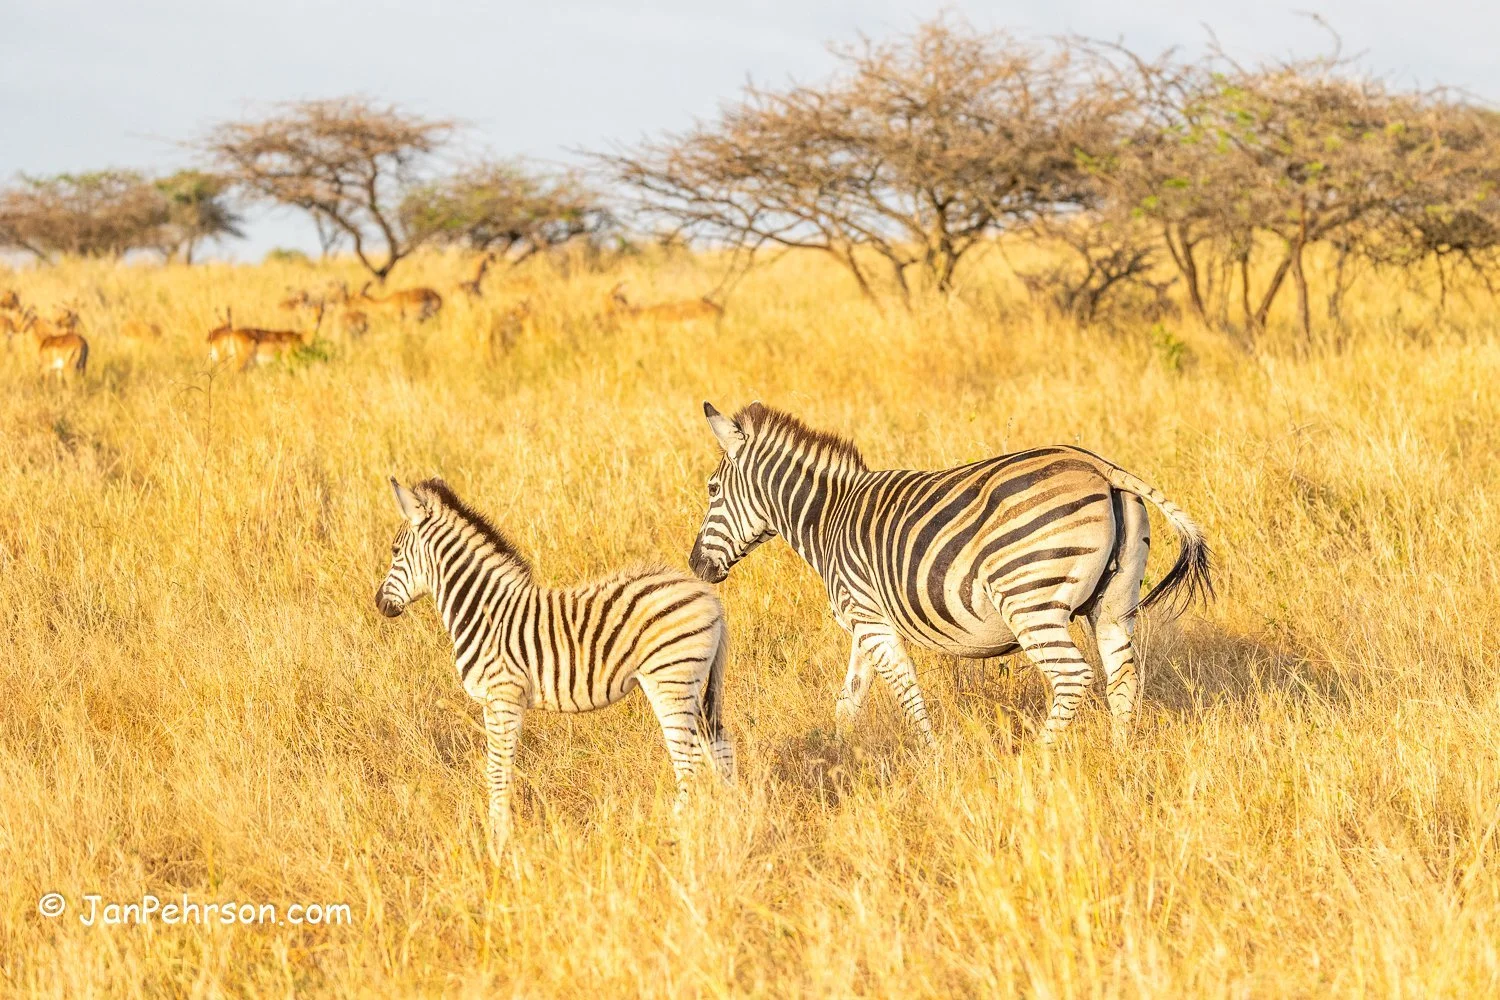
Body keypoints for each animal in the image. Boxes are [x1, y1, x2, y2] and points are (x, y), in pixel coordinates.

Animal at [375, 477, 734, 854]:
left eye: (395, 551)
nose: (379, 603)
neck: (485, 611)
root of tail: (710, 598)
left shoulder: (504, 696)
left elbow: (498, 771)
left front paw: (499, 842)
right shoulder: (492, 703)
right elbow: (497, 768)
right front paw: (498, 833)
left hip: (672, 679)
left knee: (689, 762)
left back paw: (676, 832)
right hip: (698, 684)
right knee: (720, 749)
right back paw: (726, 820)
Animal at [687, 402, 1212, 746]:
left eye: (711, 489)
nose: (695, 566)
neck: (830, 516)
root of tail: (1101, 468)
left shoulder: (871, 622)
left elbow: (906, 694)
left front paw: (931, 761)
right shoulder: (864, 623)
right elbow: (848, 702)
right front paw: (838, 758)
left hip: (1029, 598)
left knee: (1072, 677)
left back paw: (1040, 762)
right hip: (1114, 606)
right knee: (1123, 681)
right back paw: (1122, 759)